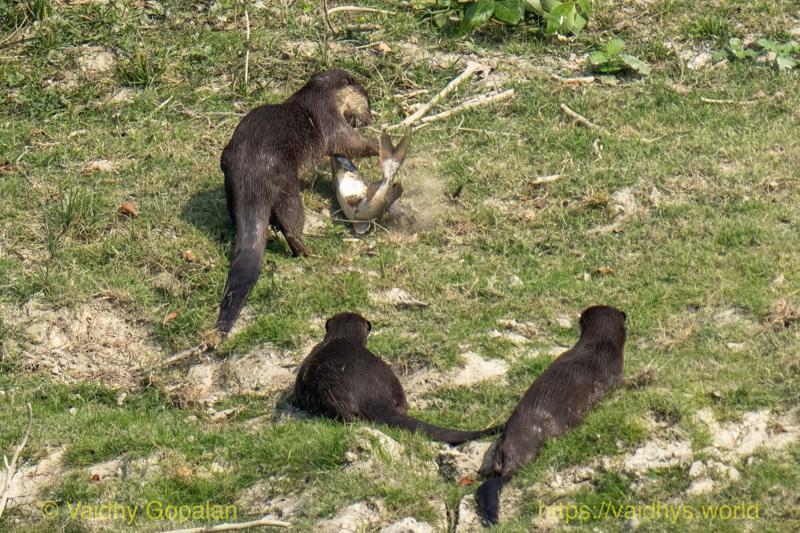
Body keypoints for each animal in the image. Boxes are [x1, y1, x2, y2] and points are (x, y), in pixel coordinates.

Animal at [217, 69, 379, 334]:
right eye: (368, 102)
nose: (370, 118)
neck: (322, 96)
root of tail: (250, 173)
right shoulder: (330, 119)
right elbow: (349, 142)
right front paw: (378, 143)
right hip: (286, 187)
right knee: (292, 222)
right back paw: (307, 252)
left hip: (230, 187)